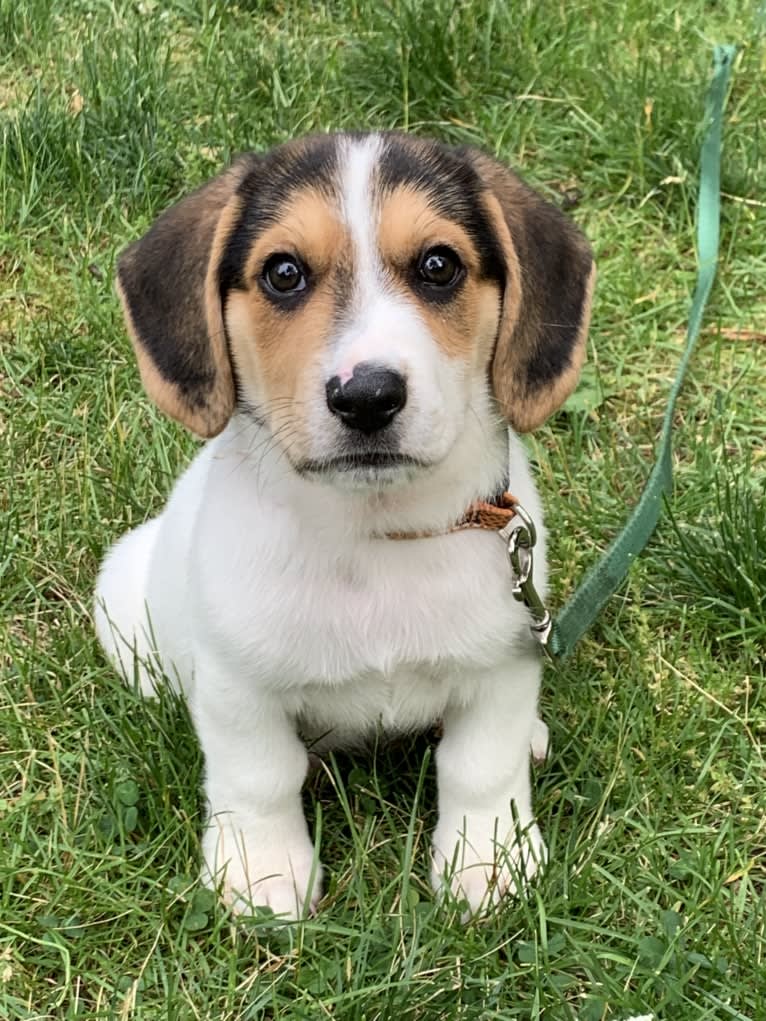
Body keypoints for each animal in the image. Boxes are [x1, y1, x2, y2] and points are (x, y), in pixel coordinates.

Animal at [96, 131, 596, 922]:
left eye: (438, 265)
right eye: (283, 273)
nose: (367, 396)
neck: (374, 533)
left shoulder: (502, 667)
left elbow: (480, 767)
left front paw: (489, 860)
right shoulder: (239, 688)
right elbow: (258, 775)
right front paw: (264, 872)